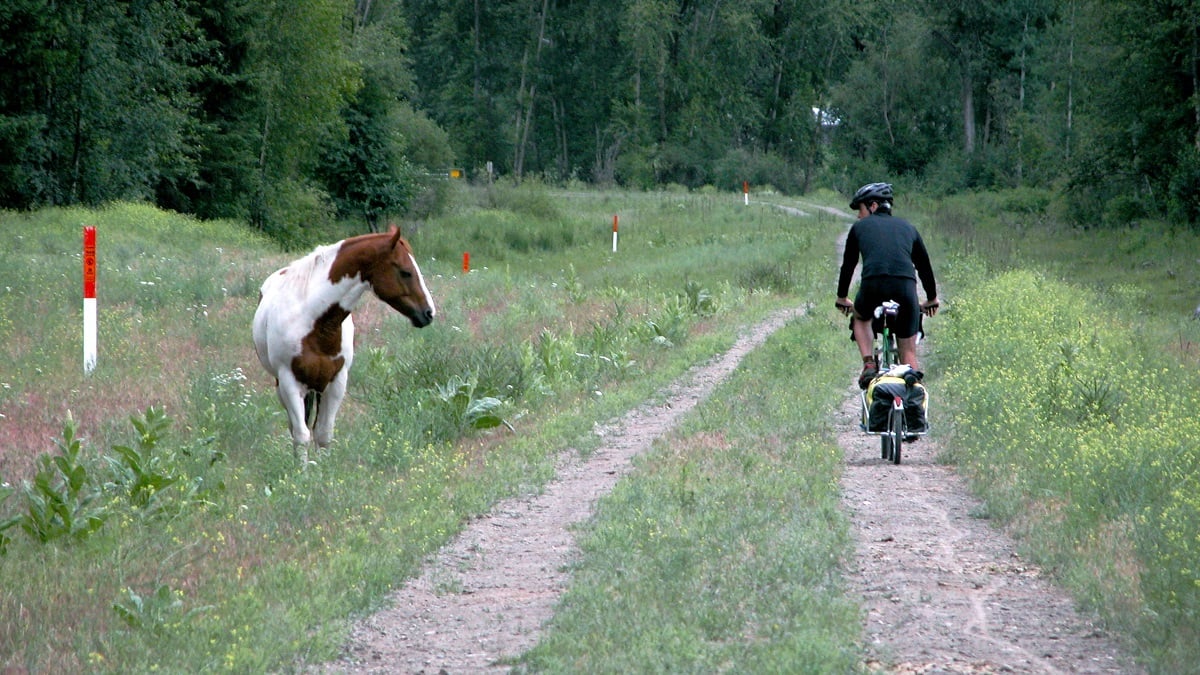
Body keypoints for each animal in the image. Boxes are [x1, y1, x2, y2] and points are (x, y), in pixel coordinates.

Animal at [252, 225, 435, 464]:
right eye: (406, 271)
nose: (429, 313)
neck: (312, 320)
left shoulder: (336, 382)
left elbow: (323, 434)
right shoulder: (289, 381)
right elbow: (301, 435)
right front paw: (301, 472)